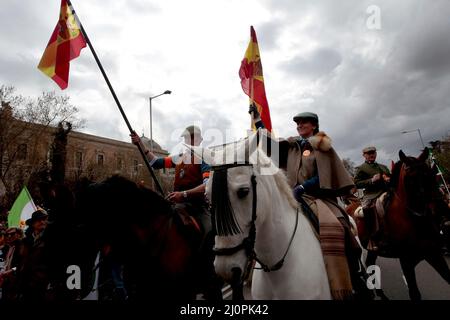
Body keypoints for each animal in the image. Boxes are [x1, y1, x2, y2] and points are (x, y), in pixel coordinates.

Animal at [348, 149, 450, 300]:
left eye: (429, 173)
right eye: (412, 177)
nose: (441, 208)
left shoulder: (433, 254)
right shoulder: (406, 262)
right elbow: (414, 293)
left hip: (373, 251)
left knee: (370, 265)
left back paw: (381, 294)